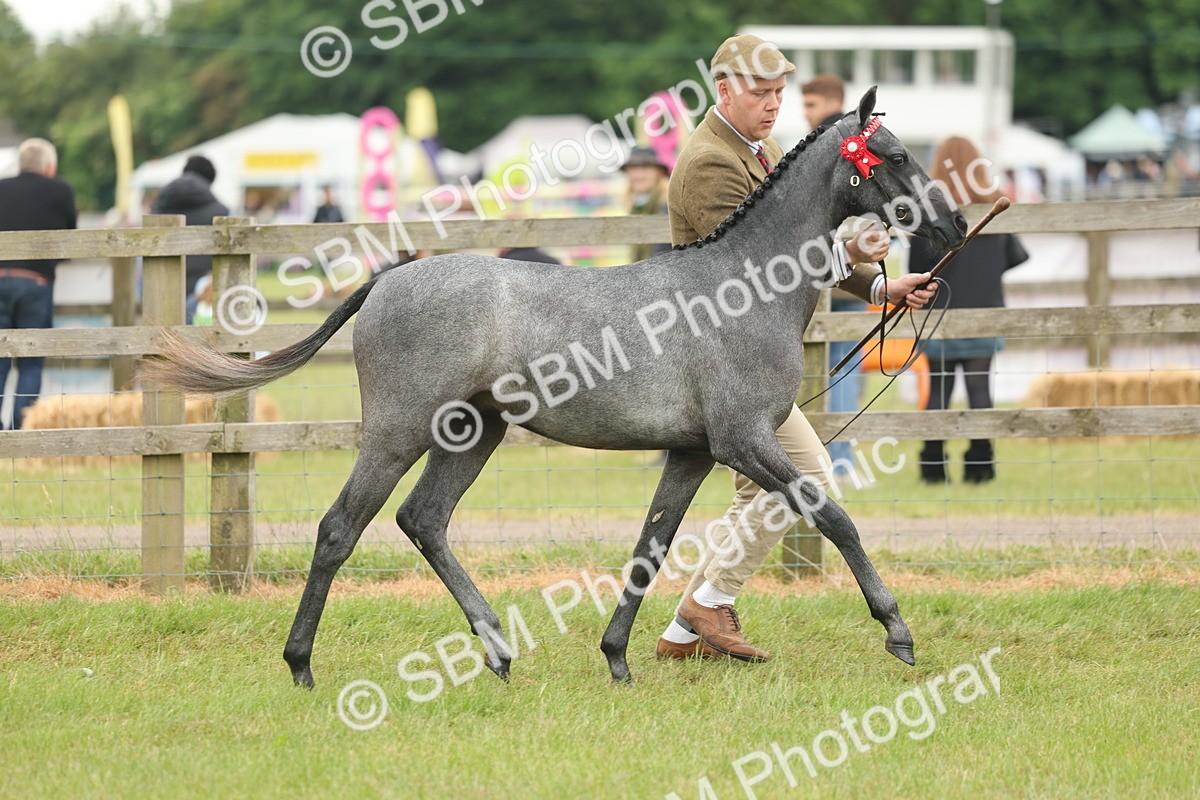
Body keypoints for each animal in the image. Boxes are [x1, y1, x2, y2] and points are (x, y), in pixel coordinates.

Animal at [143, 87, 968, 688]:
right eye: (894, 154)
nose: (955, 223)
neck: (741, 288)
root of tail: (387, 278)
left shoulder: (693, 452)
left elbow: (651, 546)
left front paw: (618, 658)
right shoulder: (744, 440)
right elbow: (833, 517)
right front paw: (898, 632)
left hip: (473, 433)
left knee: (423, 521)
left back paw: (498, 652)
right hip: (398, 431)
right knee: (341, 528)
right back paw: (302, 666)